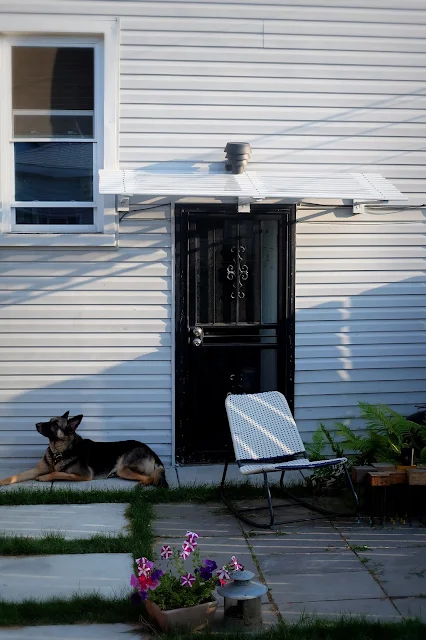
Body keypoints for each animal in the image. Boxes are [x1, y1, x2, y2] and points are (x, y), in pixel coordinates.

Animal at [0, 412, 169, 488]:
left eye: (54, 424)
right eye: (49, 421)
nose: (36, 424)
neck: (59, 452)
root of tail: (152, 452)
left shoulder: (83, 475)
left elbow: (56, 473)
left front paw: (45, 477)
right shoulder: (36, 469)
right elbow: (15, 476)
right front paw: (2, 481)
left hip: (123, 469)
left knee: (150, 477)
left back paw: (142, 484)